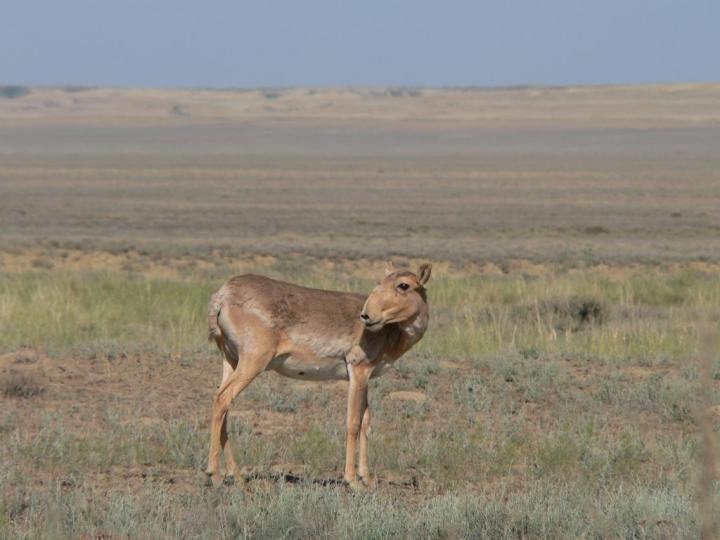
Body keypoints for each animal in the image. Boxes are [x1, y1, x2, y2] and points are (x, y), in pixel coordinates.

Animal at [207, 262, 434, 490]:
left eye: (403, 284)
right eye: (383, 281)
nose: (367, 315)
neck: (392, 333)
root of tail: (222, 296)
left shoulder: (366, 377)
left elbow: (366, 423)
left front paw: (368, 478)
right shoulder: (358, 370)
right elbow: (353, 423)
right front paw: (353, 480)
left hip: (231, 360)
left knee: (222, 403)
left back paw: (236, 475)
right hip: (252, 362)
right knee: (222, 399)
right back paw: (214, 474)